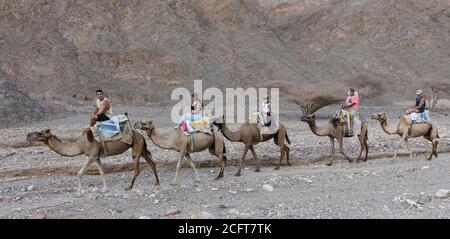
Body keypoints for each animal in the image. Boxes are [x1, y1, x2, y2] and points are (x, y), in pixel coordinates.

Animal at [25, 129, 160, 194]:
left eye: (39, 133)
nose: (27, 135)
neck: (80, 144)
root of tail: (141, 135)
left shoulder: (91, 156)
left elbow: (79, 173)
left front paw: (79, 193)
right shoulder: (96, 157)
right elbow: (102, 173)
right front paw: (104, 190)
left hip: (136, 147)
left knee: (137, 168)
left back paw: (129, 187)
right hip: (141, 148)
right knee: (152, 163)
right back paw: (157, 183)